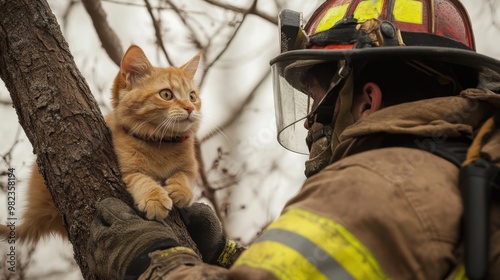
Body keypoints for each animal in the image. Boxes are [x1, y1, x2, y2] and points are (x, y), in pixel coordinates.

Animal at [2, 44, 201, 243]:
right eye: (166, 94)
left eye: (192, 97)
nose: (190, 108)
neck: (161, 143)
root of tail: (36, 212)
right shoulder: (126, 168)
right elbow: (140, 178)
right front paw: (154, 199)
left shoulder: (191, 166)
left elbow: (185, 174)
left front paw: (182, 189)